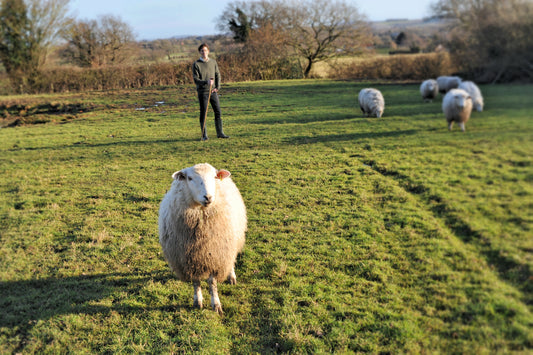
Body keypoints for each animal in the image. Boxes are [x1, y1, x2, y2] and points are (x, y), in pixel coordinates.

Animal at [158, 163, 247, 316]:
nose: (208, 197)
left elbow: (212, 283)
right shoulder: (190, 258)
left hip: (231, 243)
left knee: (231, 260)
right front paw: (197, 301)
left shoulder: (214, 255)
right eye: (189, 178)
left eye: (214, 177)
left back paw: (231, 276)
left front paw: (216, 304)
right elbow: (195, 282)